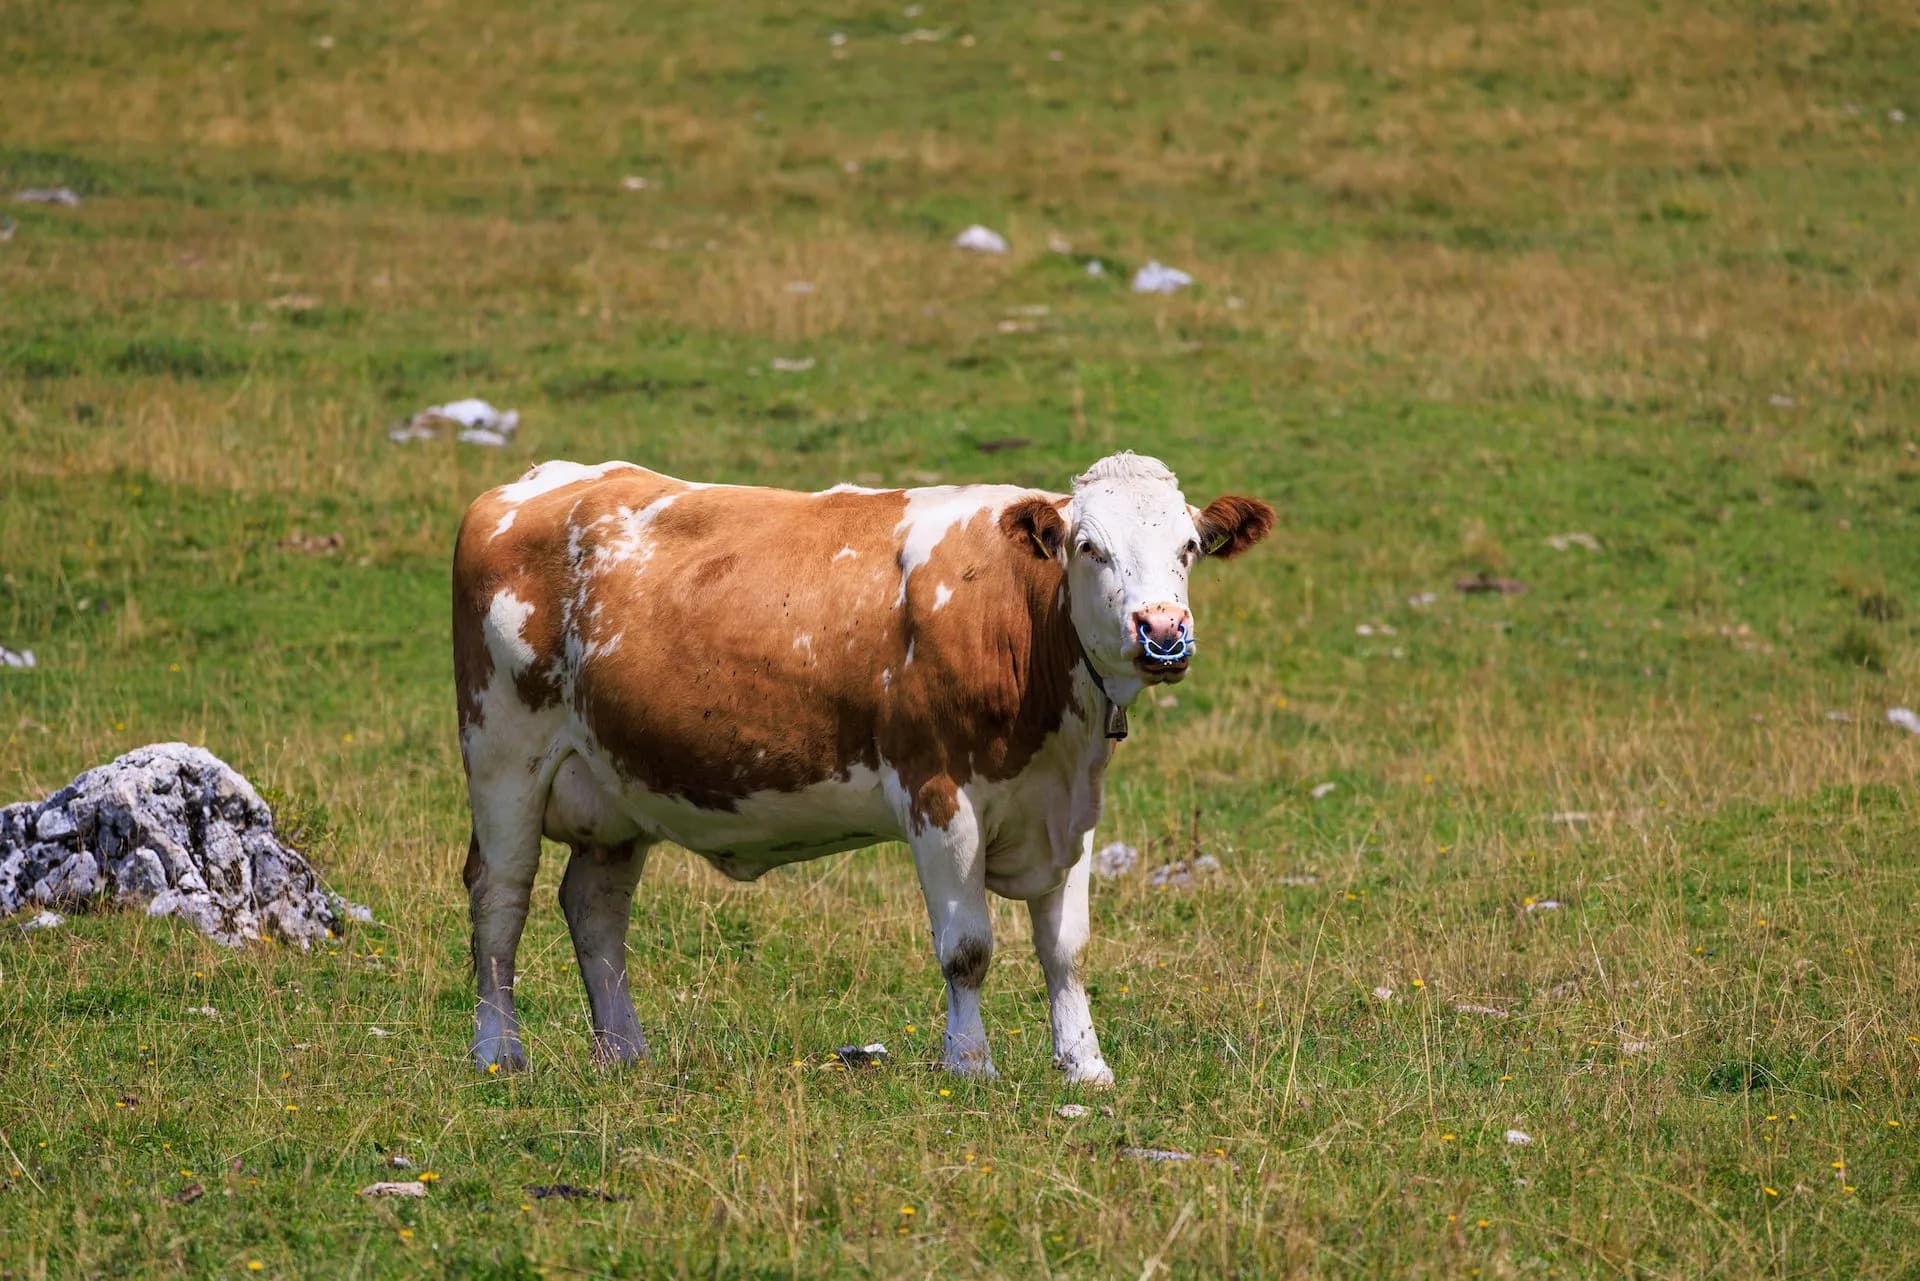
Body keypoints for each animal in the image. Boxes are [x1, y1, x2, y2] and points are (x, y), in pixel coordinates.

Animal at [451, 452, 1273, 1084]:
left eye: (1190, 547)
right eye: (1089, 547)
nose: (1163, 630)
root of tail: (532, 484)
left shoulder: (1070, 806)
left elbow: (1065, 949)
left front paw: (1085, 1066)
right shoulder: (938, 794)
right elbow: (968, 947)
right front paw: (969, 1064)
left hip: (616, 784)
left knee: (595, 908)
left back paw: (625, 1052)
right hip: (502, 753)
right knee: (500, 900)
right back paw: (499, 1053)